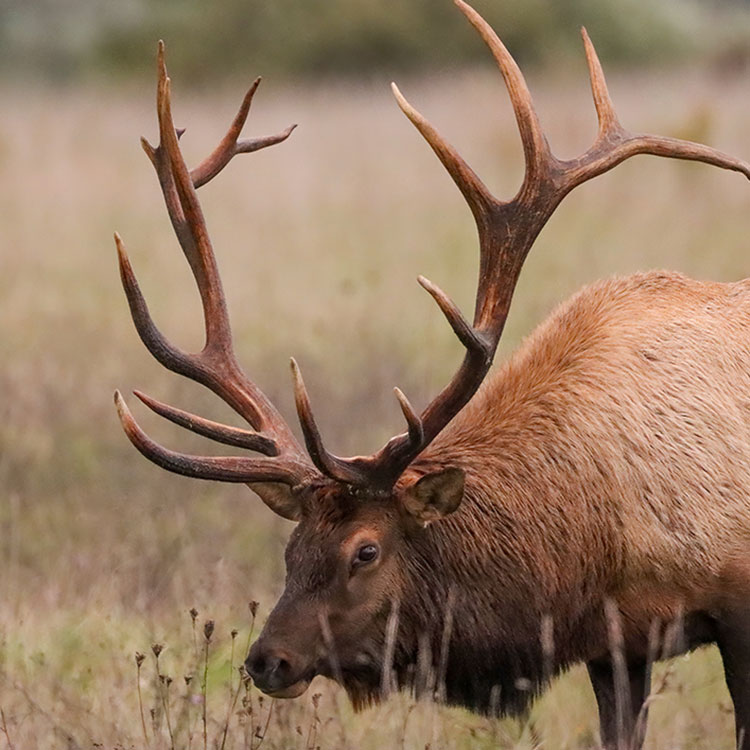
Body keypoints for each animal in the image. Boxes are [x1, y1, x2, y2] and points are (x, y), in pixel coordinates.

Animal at [113, 1, 750, 748]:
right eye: (291, 549)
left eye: (365, 551)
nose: (268, 660)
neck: (595, 542)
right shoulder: (615, 642)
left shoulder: (736, 603)